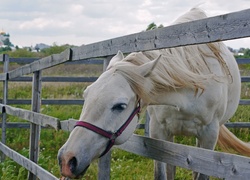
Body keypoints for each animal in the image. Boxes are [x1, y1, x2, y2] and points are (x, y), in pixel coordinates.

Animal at [57, 7, 250, 179]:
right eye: (86, 96)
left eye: (120, 106)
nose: (66, 159)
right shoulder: (159, 131)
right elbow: (162, 174)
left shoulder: (209, 137)